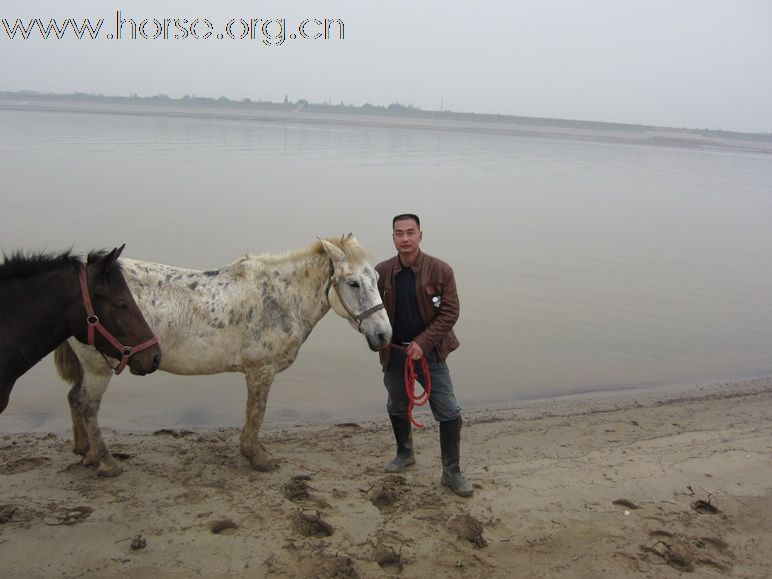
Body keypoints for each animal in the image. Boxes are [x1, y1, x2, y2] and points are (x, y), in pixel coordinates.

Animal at [55, 234, 392, 476]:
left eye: (376, 278)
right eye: (353, 283)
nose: (384, 335)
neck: (280, 298)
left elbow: (253, 415)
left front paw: (256, 449)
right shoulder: (260, 371)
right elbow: (257, 412)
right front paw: (257, 457)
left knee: (74, 398)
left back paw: (85, 453)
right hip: (99, 369)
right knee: (87, 406)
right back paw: (106, 462)